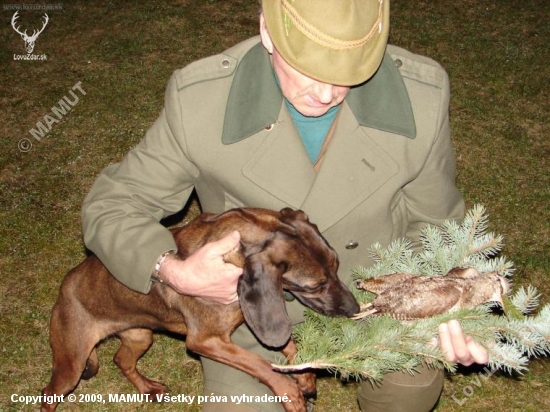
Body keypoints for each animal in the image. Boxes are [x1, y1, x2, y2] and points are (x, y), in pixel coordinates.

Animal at [44, 208, 362, 410]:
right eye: (315, 285)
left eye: (336, 265)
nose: (354, 308)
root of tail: (63, 290)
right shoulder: (205, 341)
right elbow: (260, 363)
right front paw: (288, 392)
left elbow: (287, 345)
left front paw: (304, 375)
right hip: (71, 362)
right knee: (48, 395)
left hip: (140, 336)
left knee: (121, 360)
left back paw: (148, 389)